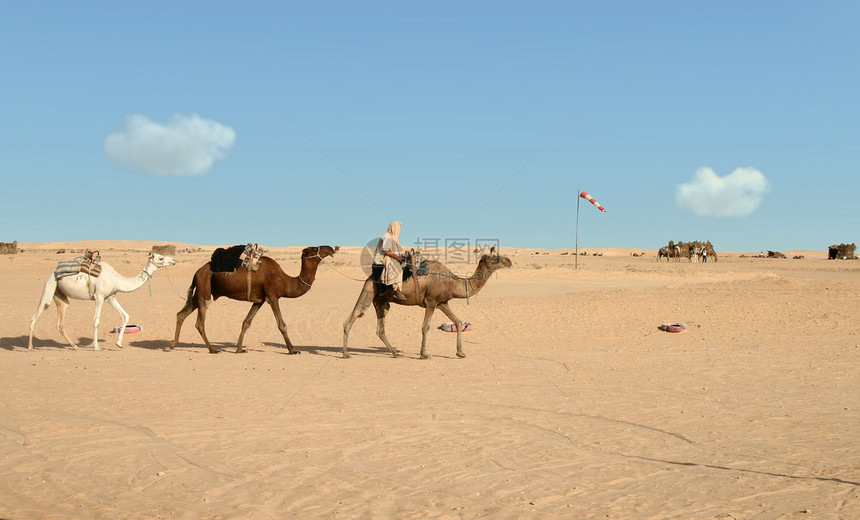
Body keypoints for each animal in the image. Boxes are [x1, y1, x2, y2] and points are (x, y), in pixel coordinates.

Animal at [28, 251, 176, 350]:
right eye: (161, 257)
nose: (173, 260)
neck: (117, 280)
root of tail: (53, 273)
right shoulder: (99, 296)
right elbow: (96, 321)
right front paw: (97, 346)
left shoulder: (110, 297)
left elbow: (125, 316)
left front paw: (119, 343)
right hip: (49, 287)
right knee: (35, 316)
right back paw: (30, 346)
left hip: (61, 297)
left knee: (60, 323)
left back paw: (74, 346)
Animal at [168, 245, 336, 354]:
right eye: (314, 248)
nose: (331, 248)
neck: (285, 280)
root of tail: (197, 272)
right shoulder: (272, 296)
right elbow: (282, 324)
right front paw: (293, 349)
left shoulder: (259, 300)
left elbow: (246, 323)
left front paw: (239, 348)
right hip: (204, 291)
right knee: (199, 323)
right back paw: (212, 349)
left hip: (200, 293)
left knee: (181, 314)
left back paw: (172, 344)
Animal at [340, 253, 510, 360]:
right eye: (495, 257)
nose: (509, 261)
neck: (452, 283)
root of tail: (371, 276)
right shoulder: (431, 301)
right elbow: (425, 327)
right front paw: (424, 354)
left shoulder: (442, 303)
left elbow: (458, 321)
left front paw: (461, 353)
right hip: (368, 291)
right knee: (351, 319)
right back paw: (345, 354)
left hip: (382, 302)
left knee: (380, 330)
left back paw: (396, 353)